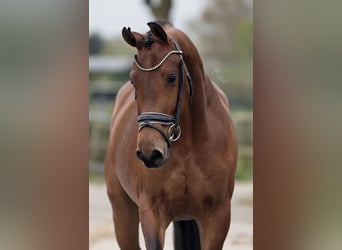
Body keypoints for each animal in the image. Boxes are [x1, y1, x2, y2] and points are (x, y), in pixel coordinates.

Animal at [105, 21, 238, 250]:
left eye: (171, 78)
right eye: (133, 81)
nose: (150, 153)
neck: (191, 145)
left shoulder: (218, 216)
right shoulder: (152, 212)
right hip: (122, 213)